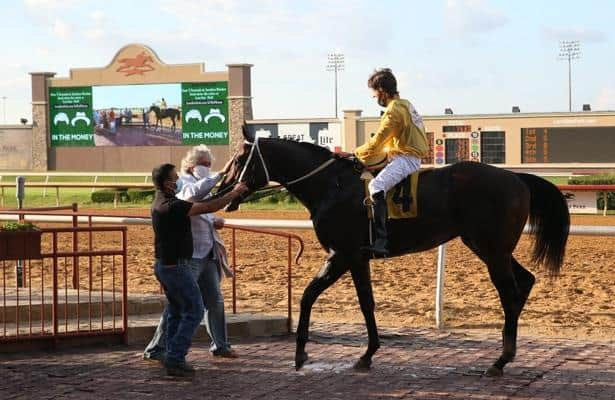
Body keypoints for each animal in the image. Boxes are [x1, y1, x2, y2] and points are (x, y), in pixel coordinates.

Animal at [219, 127, 572, 376]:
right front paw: (367, 355)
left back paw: (500, 360)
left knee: (510, 293)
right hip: (492, 248)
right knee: (524, 282)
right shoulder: (358, 258)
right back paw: (507, 352)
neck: (331, 186)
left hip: (491, 249)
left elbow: (308, 296)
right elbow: (366, 303)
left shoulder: (341, 254)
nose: (223, 190)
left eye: (238, 161)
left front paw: (301, 353)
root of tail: (516, 177)